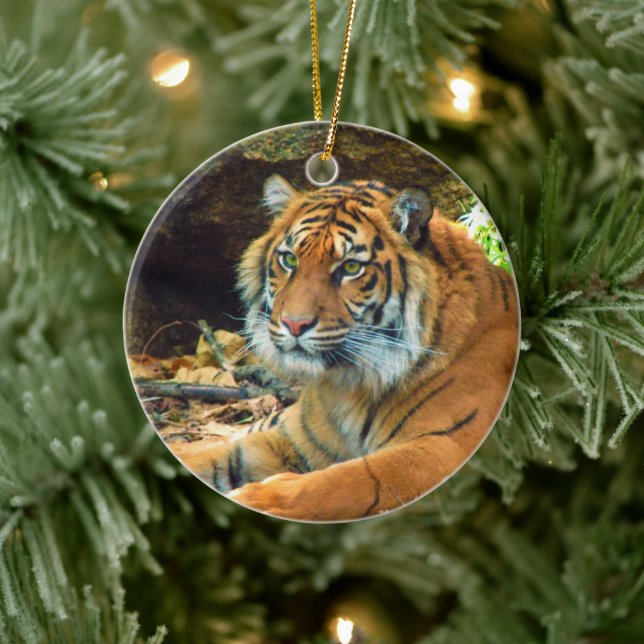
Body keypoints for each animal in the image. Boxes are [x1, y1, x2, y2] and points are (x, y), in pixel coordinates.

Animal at [171, 175, 519, 521]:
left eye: (351, 267)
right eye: (289, 259)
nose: (294, 324)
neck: (351, 386)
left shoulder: (442, 447)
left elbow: (343, 481)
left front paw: (255, 496)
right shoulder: (291, 439)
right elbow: (215, 456)